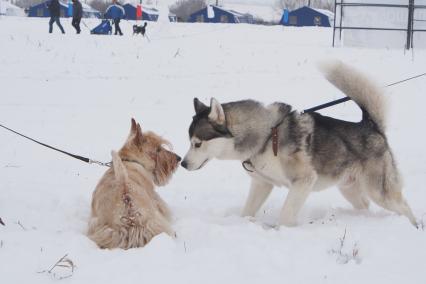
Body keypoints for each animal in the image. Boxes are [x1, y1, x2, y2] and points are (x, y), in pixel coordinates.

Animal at [181, 62, 418, 229]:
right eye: (189, 142)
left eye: (197, 144)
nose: (182, 164)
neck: (266, 136)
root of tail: (371, 126)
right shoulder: (261, 183)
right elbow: (247, 210)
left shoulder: (303, 181)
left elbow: (286, 214)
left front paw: (281, 231)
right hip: (349, 188)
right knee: (366, 206)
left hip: (380, 192)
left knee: (405, 206)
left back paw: (413, 227)